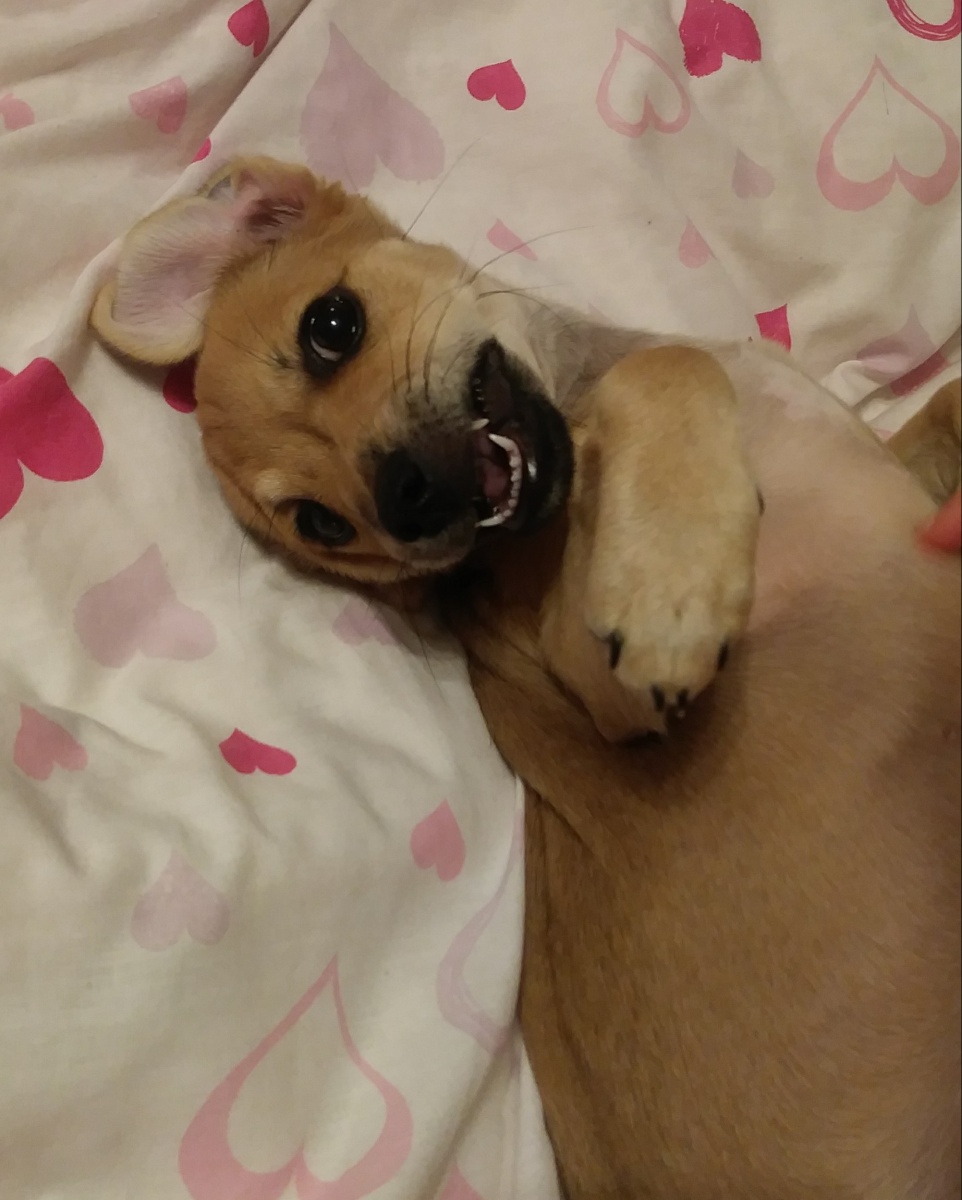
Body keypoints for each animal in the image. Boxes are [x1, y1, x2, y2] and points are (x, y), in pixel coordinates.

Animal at [91, 157, 961, 1199]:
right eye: (321, 524)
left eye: (331, 325)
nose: (408, 500)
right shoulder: (606, 686)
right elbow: (669, 373)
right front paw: (672, 583)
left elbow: (942, 408)